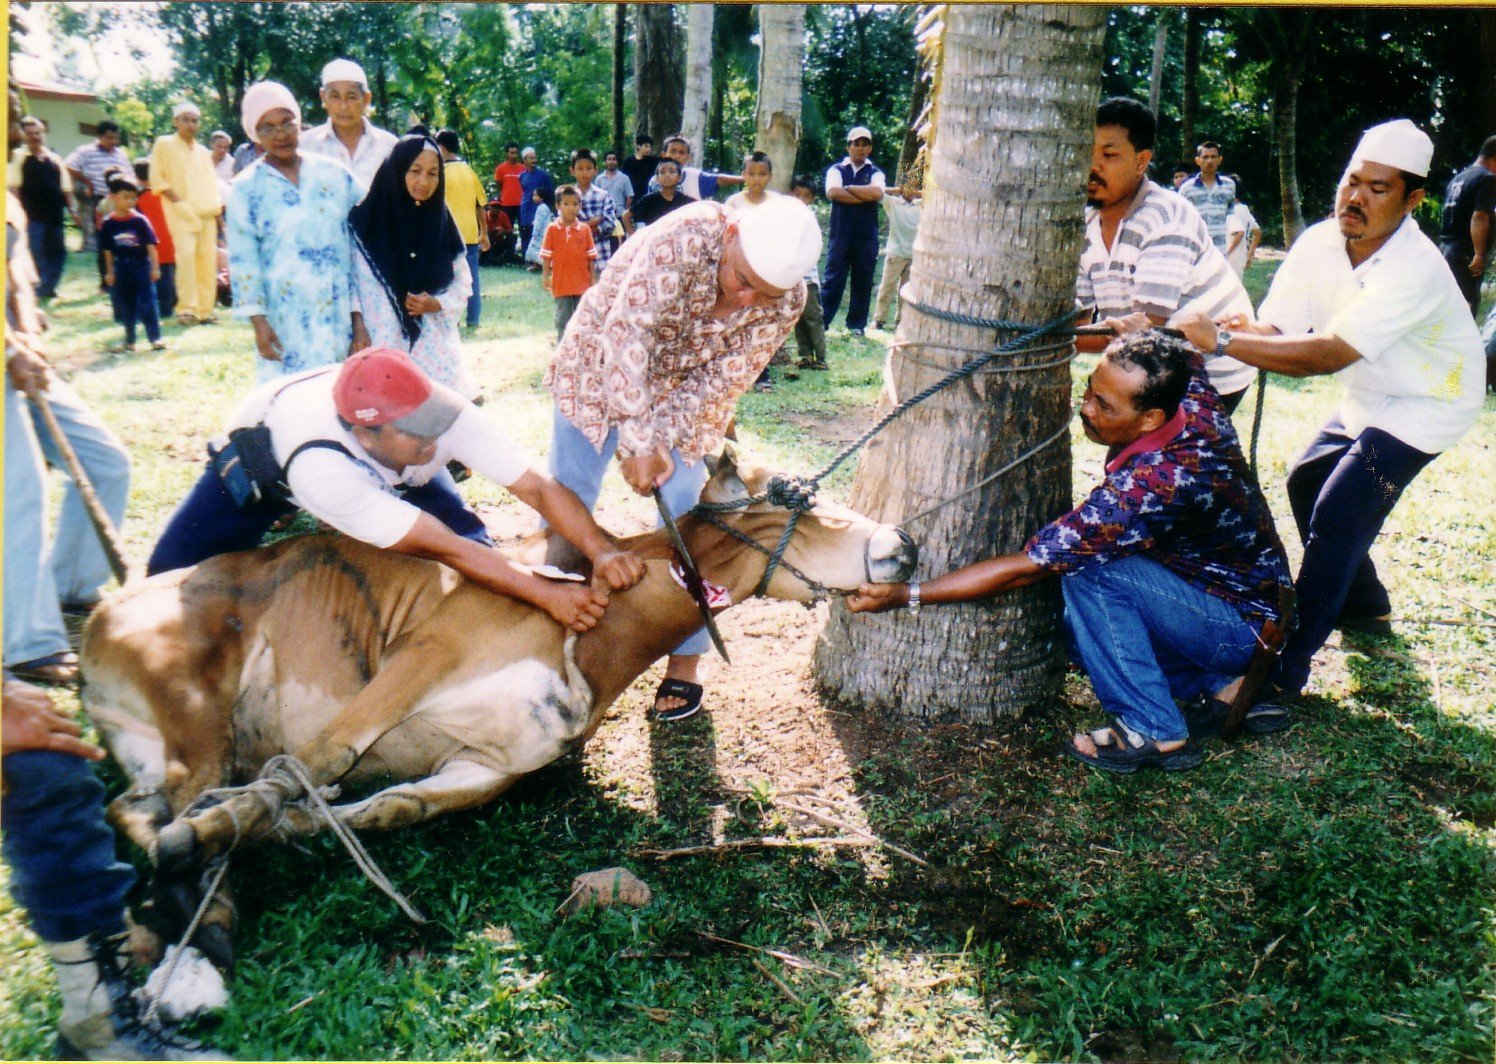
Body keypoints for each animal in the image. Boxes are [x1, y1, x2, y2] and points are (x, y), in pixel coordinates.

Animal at [84, 451, 921, 999]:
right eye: (792, 497)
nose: (905, 545)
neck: (598, 625)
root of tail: (100, 617)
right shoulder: (423, 656)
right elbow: (317, 760)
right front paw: (220, 834)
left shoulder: (489, 767)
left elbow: (377, 809)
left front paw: (277, 829)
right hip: (197, 714)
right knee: (170, 808)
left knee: (134, 809)